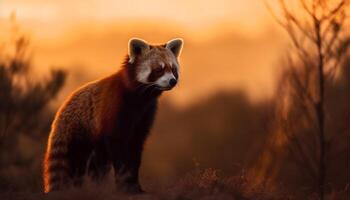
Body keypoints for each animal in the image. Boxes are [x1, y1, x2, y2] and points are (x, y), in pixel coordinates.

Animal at [43, 38, 183, 194]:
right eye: (159, 69)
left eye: (173, 69)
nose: (172, 81)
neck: (139, 99)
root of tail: (61, 110)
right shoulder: (114, 112)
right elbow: (119, 151)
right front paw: (124, 186)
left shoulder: (145, 116)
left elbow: (135, 151)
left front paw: (135, 186)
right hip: (78, 134)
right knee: (76, 164)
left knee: (97, 165)